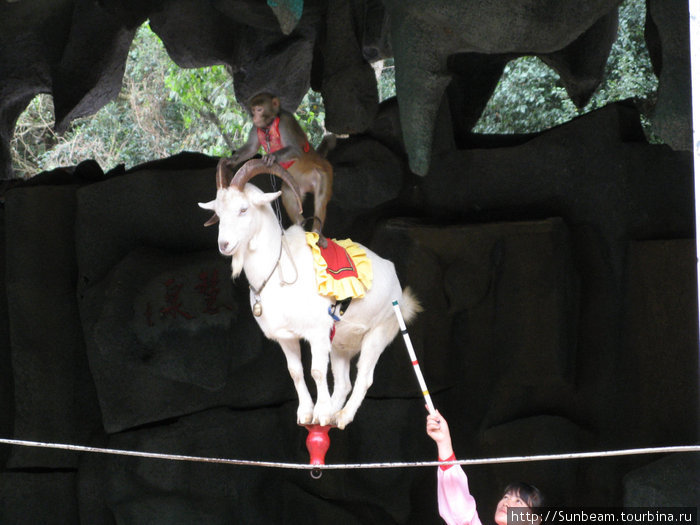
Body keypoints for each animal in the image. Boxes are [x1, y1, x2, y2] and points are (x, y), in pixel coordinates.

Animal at [200, 158, 418, 428]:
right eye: (218, 213)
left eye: (243, 209)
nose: (224, 245)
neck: (279, 269)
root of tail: (394, 278)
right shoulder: (286, 337)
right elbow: (295, 372)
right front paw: (306, 413)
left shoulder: (317, 333)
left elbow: (316, 371)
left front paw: (320, 413)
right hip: (340, 342)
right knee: (343, 382)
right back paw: (334, 413)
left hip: (379, 332)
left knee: (364, 377)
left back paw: (341, 416)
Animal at [230, 91, 334, 246]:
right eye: (253, 110)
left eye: (259, 109)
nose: (254, 117)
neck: (269, 125)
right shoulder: (256, 127)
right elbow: (251, 149)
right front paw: (230, 160)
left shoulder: (286, 121)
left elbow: (296, 150)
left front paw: (271, 157)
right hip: (298, 184)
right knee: (288, 193)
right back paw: (301, 228)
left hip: (324, 173)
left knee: (321, 196)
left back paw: (317, 233)